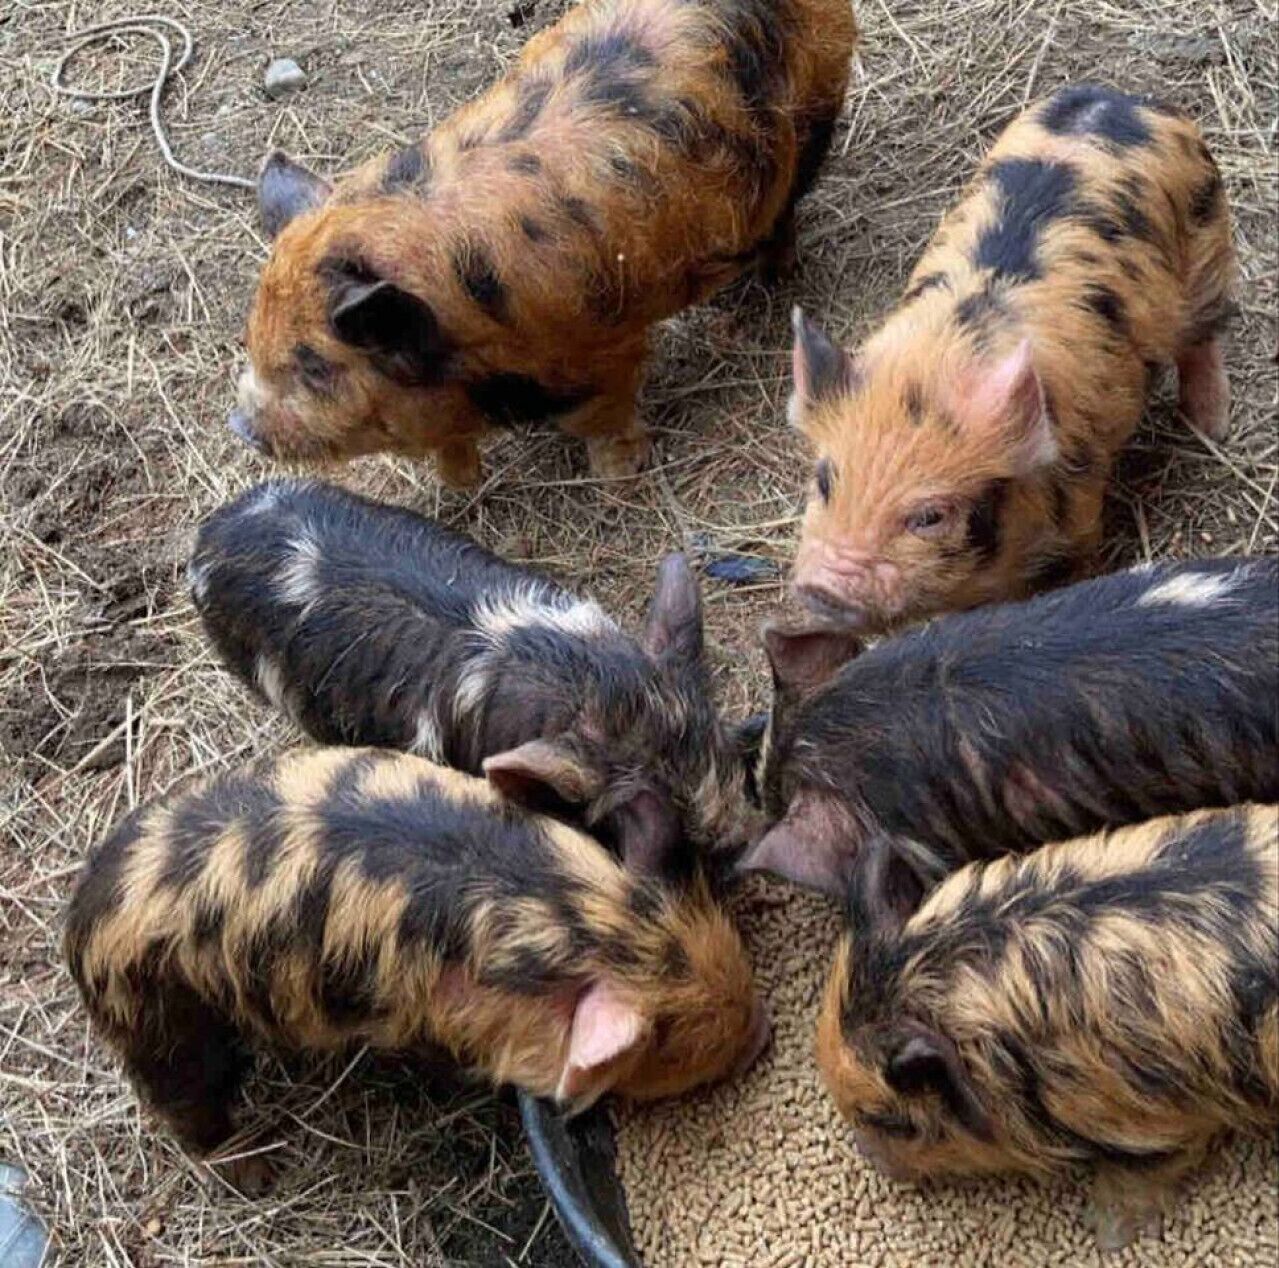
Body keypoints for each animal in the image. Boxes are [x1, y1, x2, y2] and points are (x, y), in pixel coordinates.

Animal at [65, 748, 769, 1193]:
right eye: (671, 1043)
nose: (762, 1032)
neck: (564, 915)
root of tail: (80, 919)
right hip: (160, 1019)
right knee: (186, 1105)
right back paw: (258, 1174)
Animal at [232, 0, 858, 484]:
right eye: (253, 342)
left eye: (315, 368)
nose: (241, 424)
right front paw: (458, 484)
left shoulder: (599, 352)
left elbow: (599, 417)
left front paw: (618, 477)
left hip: (814, 117)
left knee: (786, 213)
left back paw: (770, 279)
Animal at [788, 83, 1237, 629]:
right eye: (823, 480)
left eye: (930, 516)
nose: (822, 587)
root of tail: (1127, 99)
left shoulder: (1078, 513)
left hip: (1209, 239)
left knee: (1204, 334)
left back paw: (1210, 425)